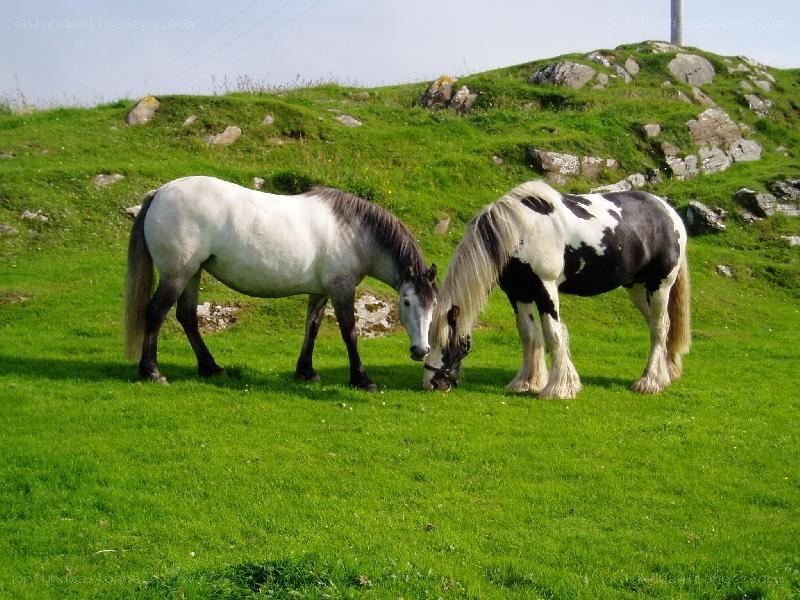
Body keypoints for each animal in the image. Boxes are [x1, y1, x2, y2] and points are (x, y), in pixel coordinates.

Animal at [124, 176, 438, 390]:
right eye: (406, 302)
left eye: (433, 305)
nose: (421, 351)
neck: (352, 230)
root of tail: (159, 193)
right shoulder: (342, 289)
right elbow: (349, 332)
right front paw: (361, 379)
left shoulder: (321, 292)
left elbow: (312, 327)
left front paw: (306, 372)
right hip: (177, 274)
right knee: (155, 313)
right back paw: (152, 371)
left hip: (192, 273)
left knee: (187, 317)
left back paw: (210, 368)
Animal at [423, 180, 691, 399]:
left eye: (446, 342)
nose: (431, 383)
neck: (517, 231)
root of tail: (669, 213)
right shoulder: (518, 293)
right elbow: (528, 334)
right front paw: (526, 383)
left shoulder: (546, 289)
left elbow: (553, 334)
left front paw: (559, 388)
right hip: (636, 288)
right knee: (661, 326)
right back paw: (665, 375)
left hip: (659, 285)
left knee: (659, 328)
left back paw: (649, 382)